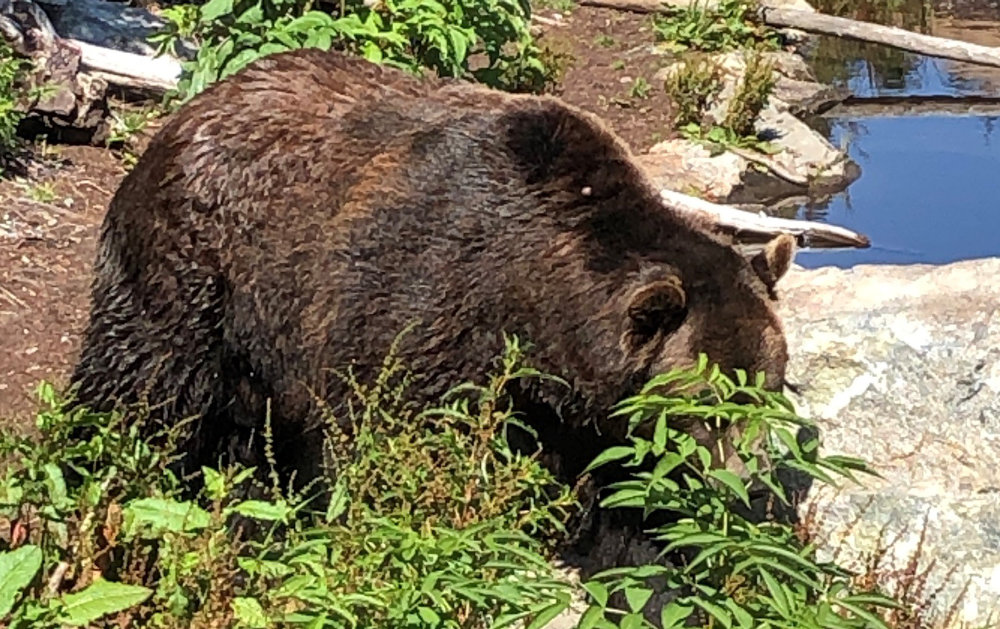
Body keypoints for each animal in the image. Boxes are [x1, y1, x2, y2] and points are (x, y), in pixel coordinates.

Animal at [64, 49, 796, 490]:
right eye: (710, 399)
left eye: (770, 385)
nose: (751, 476)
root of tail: (195, 103)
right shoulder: (417, 295)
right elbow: (393, 428)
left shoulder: (568, 396)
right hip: (199, 261)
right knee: (146, 376)